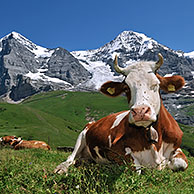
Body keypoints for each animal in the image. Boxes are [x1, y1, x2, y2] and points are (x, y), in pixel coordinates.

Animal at [54, 53, 188, 175]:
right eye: (126, 88)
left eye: (156, 84)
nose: (140, 111)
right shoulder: (115, 150)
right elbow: (136, 168)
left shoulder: (177, 148)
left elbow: (181, 163)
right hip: (81, 135)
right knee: (70, 158)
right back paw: (62, 168)